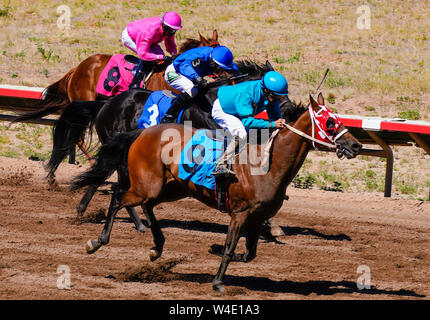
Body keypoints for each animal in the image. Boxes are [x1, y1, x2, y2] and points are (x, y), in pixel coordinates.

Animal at [72, 92, 362, 292]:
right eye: (330, 122)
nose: (356, 145)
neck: (268, 164)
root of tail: (141, 132)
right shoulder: (240, 213)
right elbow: (230, 248)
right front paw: (218, 282)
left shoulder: (256, 218)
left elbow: (249, 254)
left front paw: (213, 248)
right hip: (148, 186)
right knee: (118, 197)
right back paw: (97, 242)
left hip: (171, 187)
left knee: (146, 206)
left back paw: (157, 247)